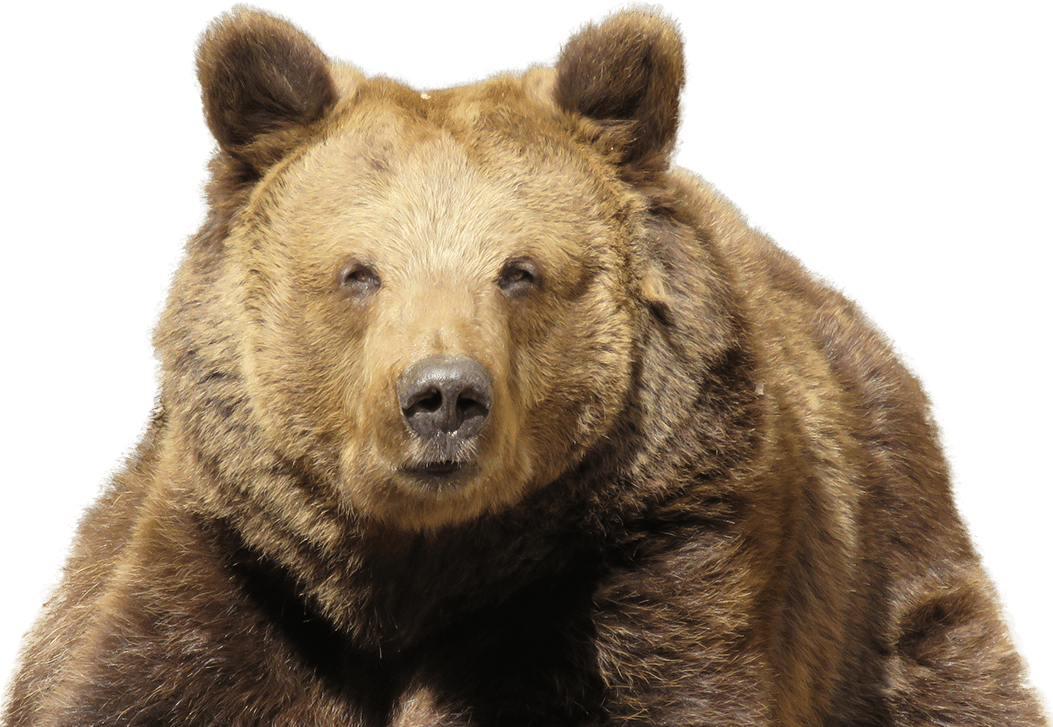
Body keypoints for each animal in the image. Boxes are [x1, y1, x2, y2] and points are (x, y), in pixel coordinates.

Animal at [2, 4, 1048, 726]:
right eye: (356, 272)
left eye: (519, 271)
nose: (441, 396)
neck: (412, 571)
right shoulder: (237, 570)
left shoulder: (654, 555)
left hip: (894, 586)